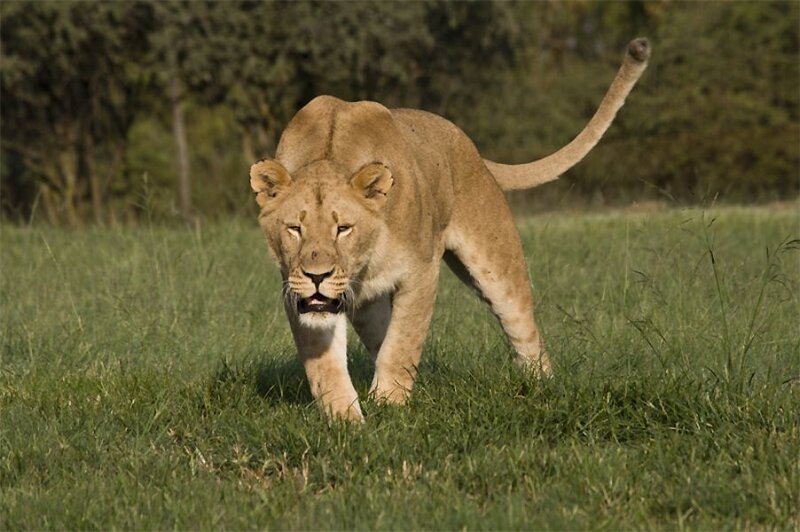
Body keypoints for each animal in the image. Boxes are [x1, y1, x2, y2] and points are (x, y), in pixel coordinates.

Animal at [250, 38, 651, 422]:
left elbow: (403, 343)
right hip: (366, 305)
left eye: (343, 228)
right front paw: (346, 420)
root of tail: (469, 144)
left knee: (524, 331)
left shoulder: (420, 272)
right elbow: (326, 365)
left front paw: (389, 404)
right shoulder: (297, 291)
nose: (317, 276)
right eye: (294, 229)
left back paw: (542, 389)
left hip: (496, 264)